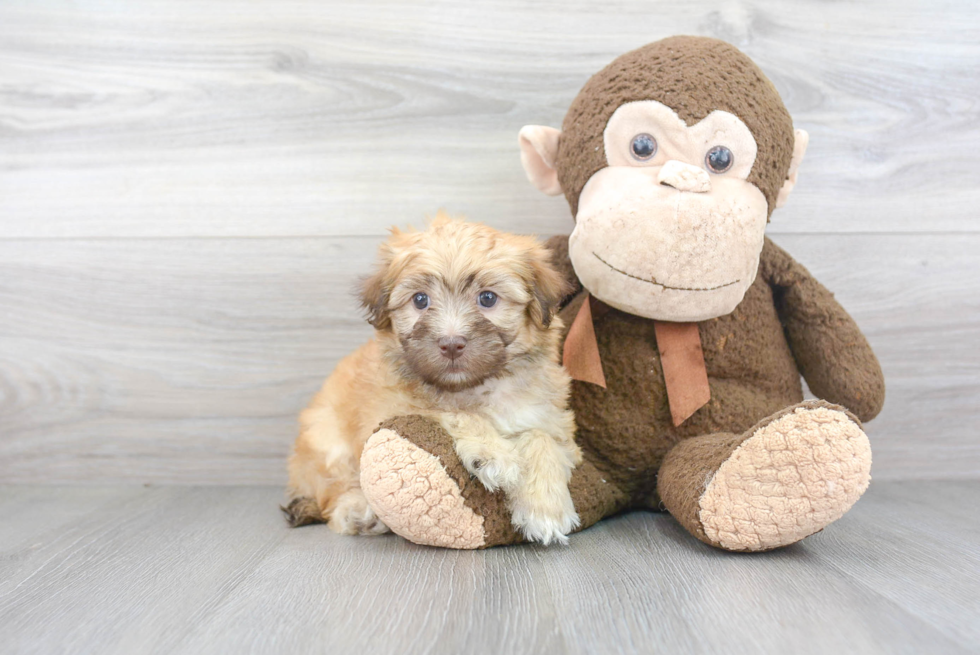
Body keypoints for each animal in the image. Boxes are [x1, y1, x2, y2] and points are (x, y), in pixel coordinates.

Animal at [288, 213, 584, 544]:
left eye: (487, 298)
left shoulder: (555, 422)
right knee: (333, 488)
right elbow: (454, 412)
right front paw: (492, 454)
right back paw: (357, 510)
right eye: (420, 300)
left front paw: (546, 508)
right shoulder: (393, 409)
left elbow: (542, 438)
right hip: (327, 438)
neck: (477, 385)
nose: (451, 343)